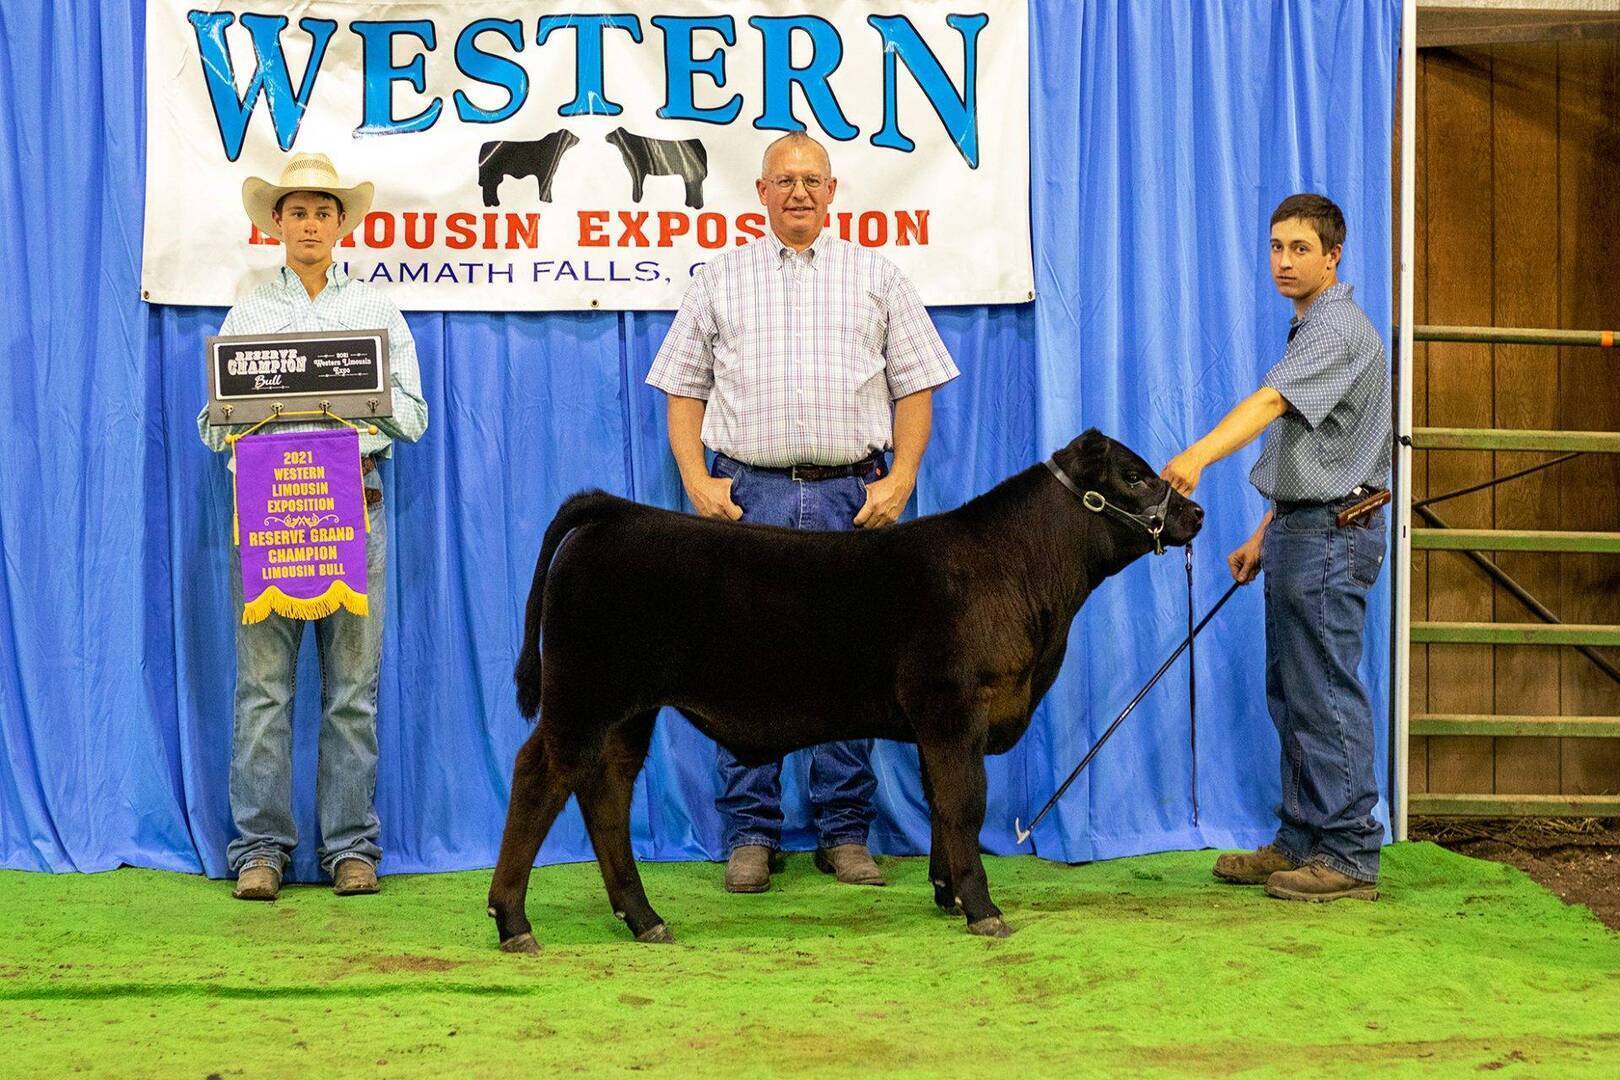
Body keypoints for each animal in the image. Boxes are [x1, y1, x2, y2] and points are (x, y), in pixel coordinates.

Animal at [487, 429, 1203, 953]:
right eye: (1134, 476)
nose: (1195, 509)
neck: (1018, 575)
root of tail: (617, 513)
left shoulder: (935, 727)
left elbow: (940, 805)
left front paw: (947, 894)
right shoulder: (954, 710)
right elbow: (965, 806)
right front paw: (983, 909)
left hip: (628, 712)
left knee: (604, 790)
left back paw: (643, 918)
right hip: (585, 695)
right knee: (539, 776)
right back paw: (515, 922)